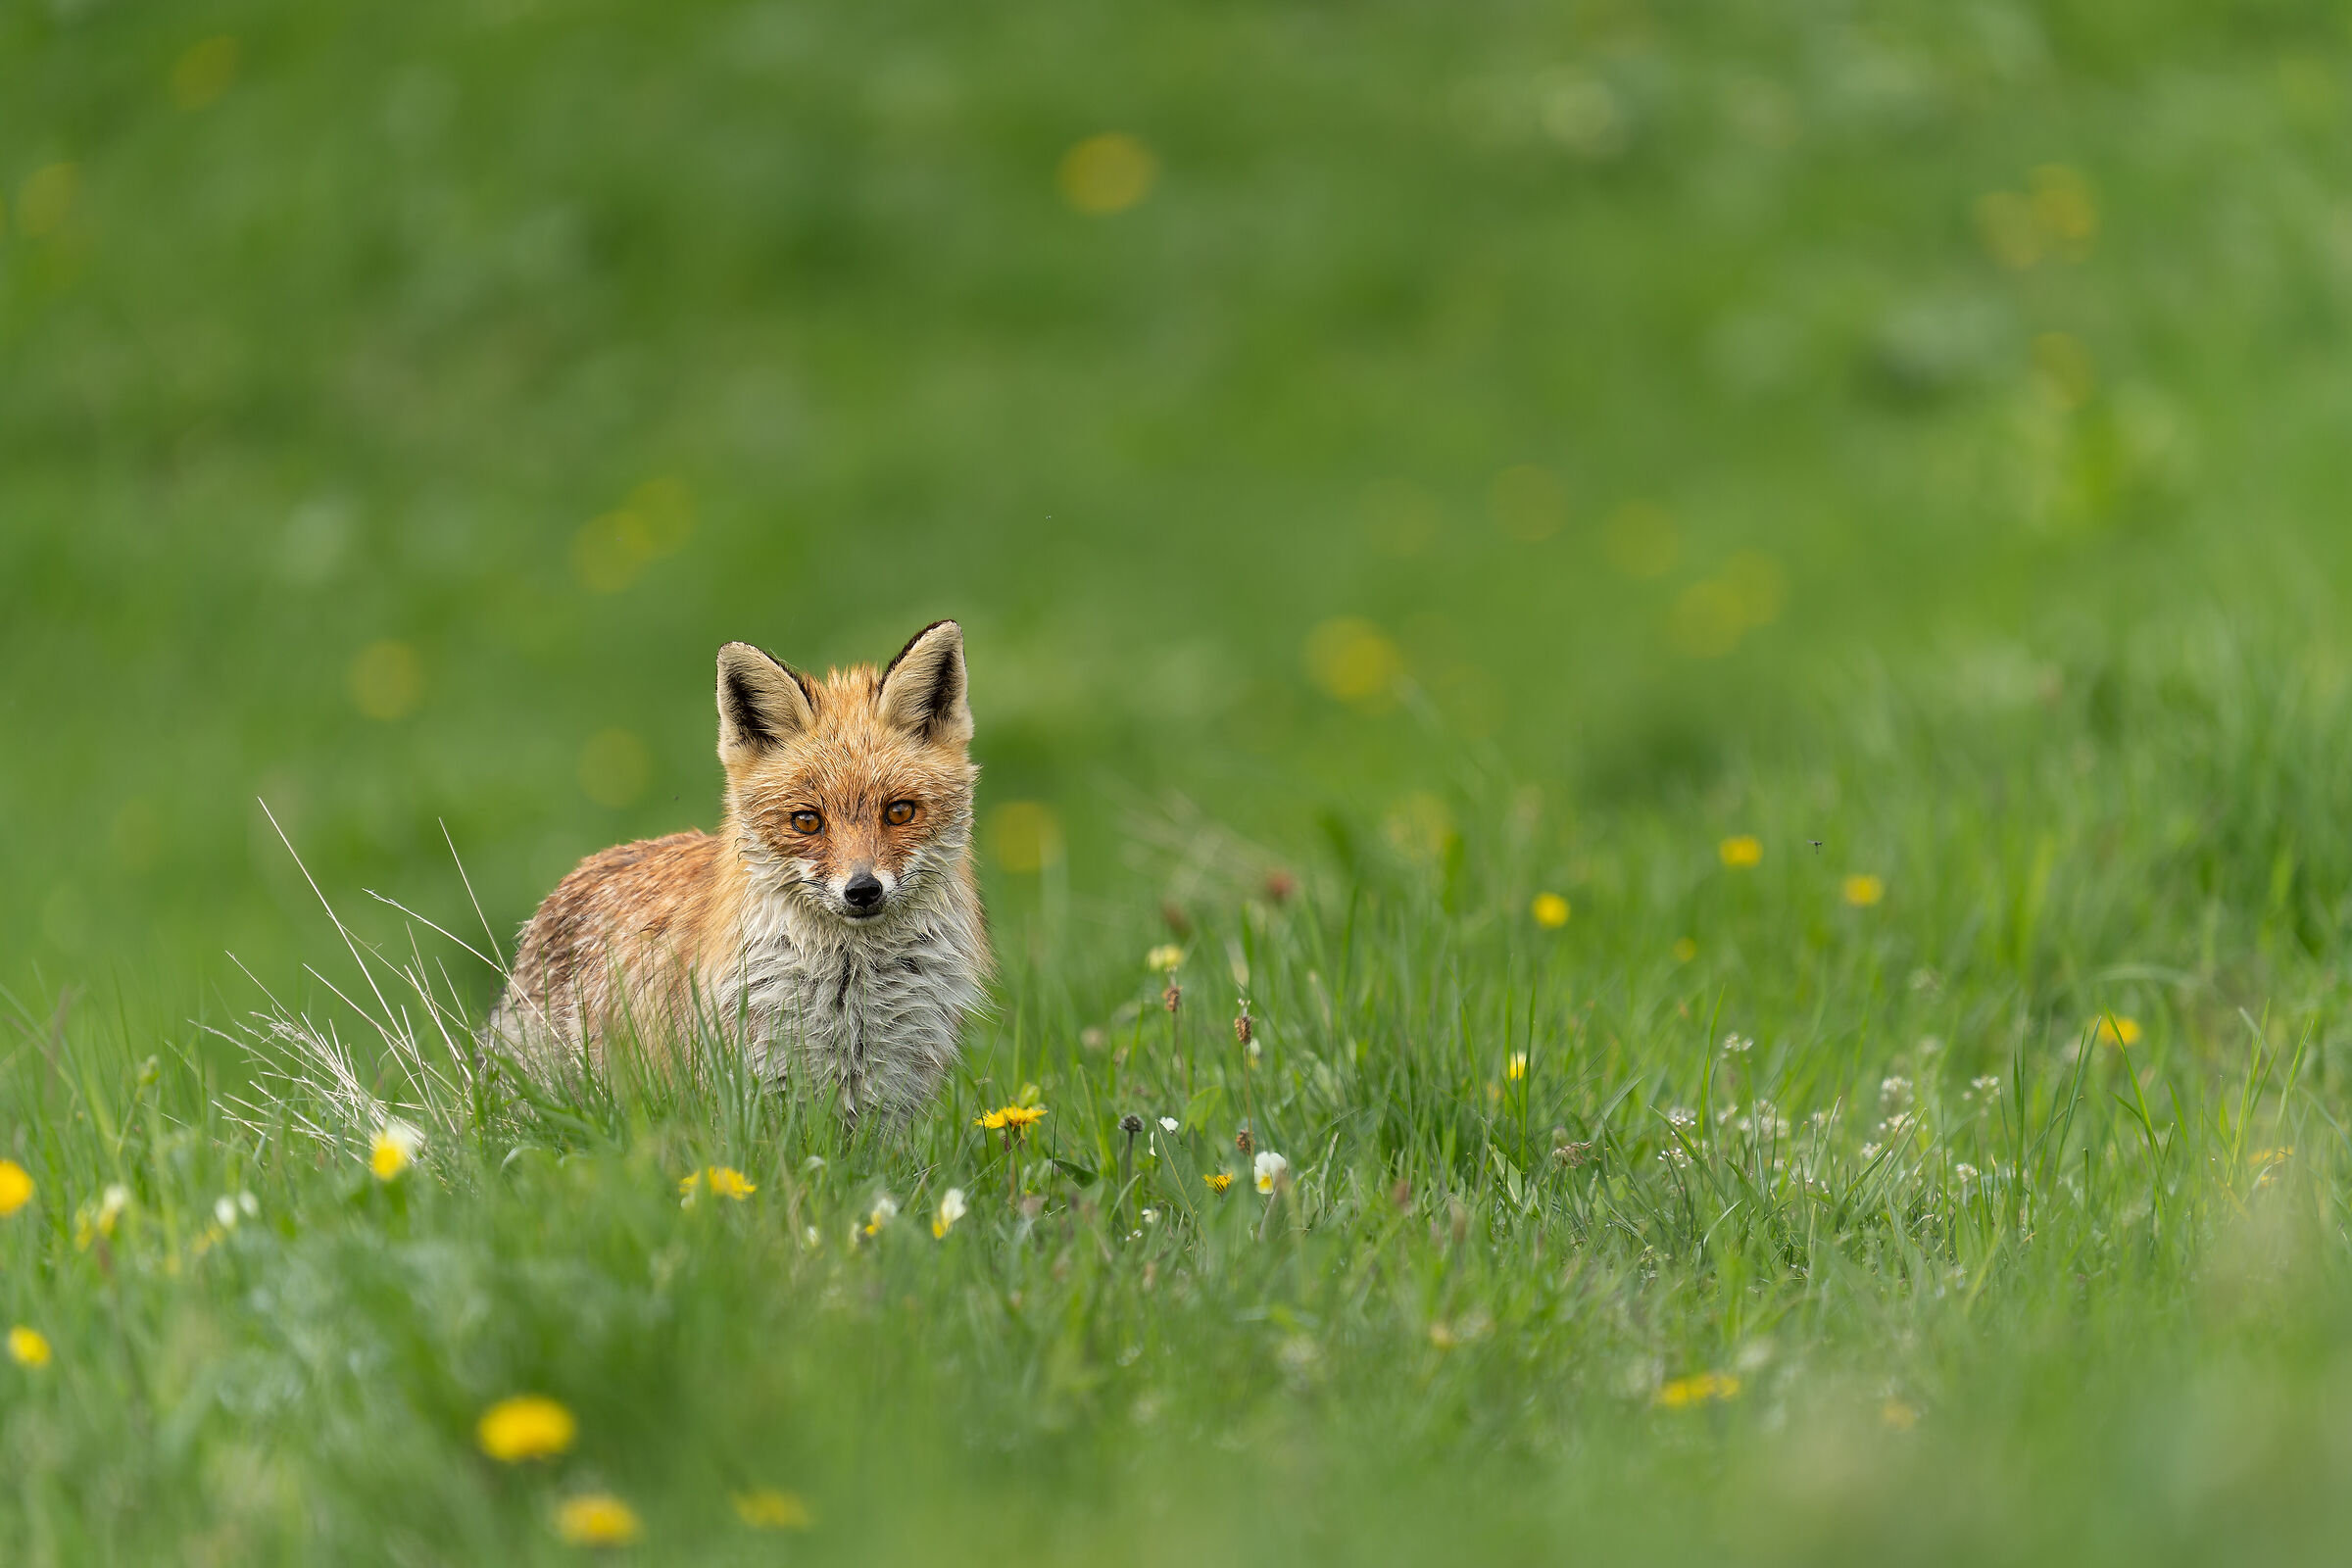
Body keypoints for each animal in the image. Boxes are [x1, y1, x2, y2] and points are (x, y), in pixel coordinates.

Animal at [485, 620, 990, 1124]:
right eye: (807, 821)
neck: (851, 993)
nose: (863, 889)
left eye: (899, 812)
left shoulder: (893, 1089)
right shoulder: (755, 1082)